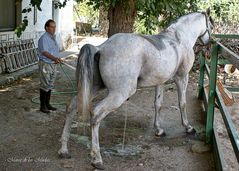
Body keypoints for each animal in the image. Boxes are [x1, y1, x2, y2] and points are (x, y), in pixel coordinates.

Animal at [58, 9, 215, 170]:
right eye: (211, 25)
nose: (210, 44)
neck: (178, 38)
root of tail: (101, 48)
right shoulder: (182, 78)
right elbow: (182, 103)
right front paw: (188, 127)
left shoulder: (160, 83)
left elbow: (158, 105)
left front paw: (159, 130)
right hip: (119, 94)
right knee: (96, 114)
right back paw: (97, 159)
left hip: (94, 88)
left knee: (71, 106)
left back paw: (64, 149)